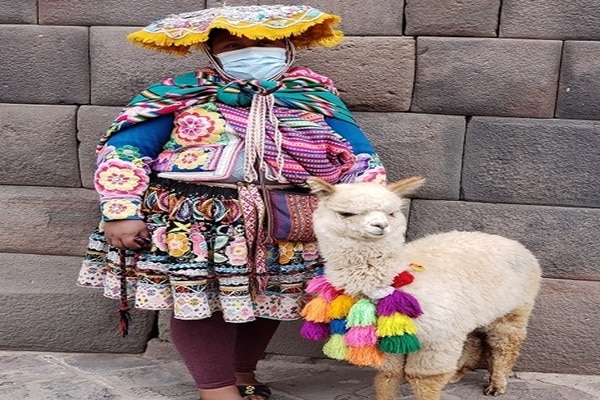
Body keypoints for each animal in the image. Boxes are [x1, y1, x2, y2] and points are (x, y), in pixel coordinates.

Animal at [301, 177, 542, 400]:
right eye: (346, 213)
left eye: (391, 213)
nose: (381, 225)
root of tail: (516, 245)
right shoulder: (390, 337)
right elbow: (387, 377)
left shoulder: (438, 335)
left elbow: (425, 379)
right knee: (473, 338)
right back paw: (458, 373)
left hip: (515, 307)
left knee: (505, 345)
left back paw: (496, 385)